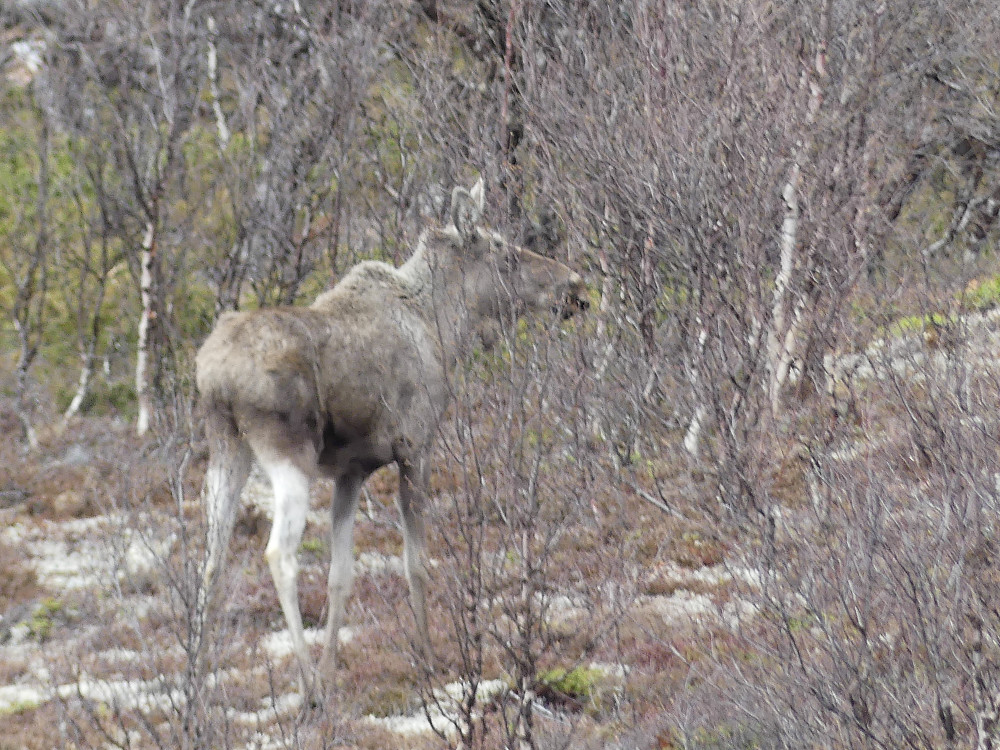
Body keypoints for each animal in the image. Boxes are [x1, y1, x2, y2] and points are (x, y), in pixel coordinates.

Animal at [195, 179, 584, 696]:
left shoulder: (352, 472)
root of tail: (214, 374)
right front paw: (427, 659)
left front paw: (332, 669)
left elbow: (341, 575)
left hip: (226, 449)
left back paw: (198, 676)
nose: (575, 286)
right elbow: (415, 562)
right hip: (288, 454)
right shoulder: (415, 447)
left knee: (212, 559)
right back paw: (307, 688)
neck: (445, 329)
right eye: (504, 252)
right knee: (279, 554)